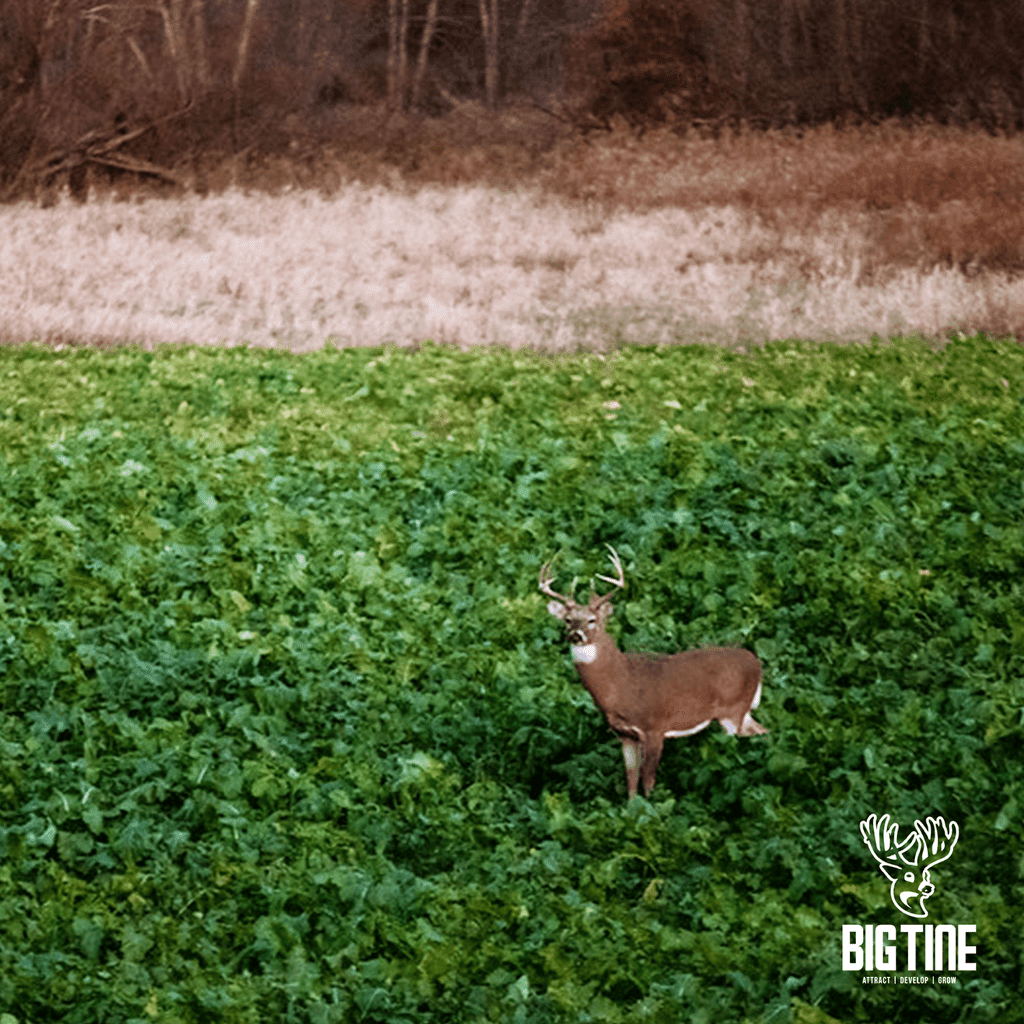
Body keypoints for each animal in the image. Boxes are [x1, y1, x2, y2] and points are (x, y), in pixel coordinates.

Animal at [539, 545, 767, 800]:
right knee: (761, 732)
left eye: (592, 620)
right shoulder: (625, 734)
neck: (621, 684)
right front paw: (631, 808)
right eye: (568, 620)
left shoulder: (655, 728)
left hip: (733, 712)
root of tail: (757, 662)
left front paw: (653, 807)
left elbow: (648, 782)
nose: (575, 635)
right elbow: (631, 781)